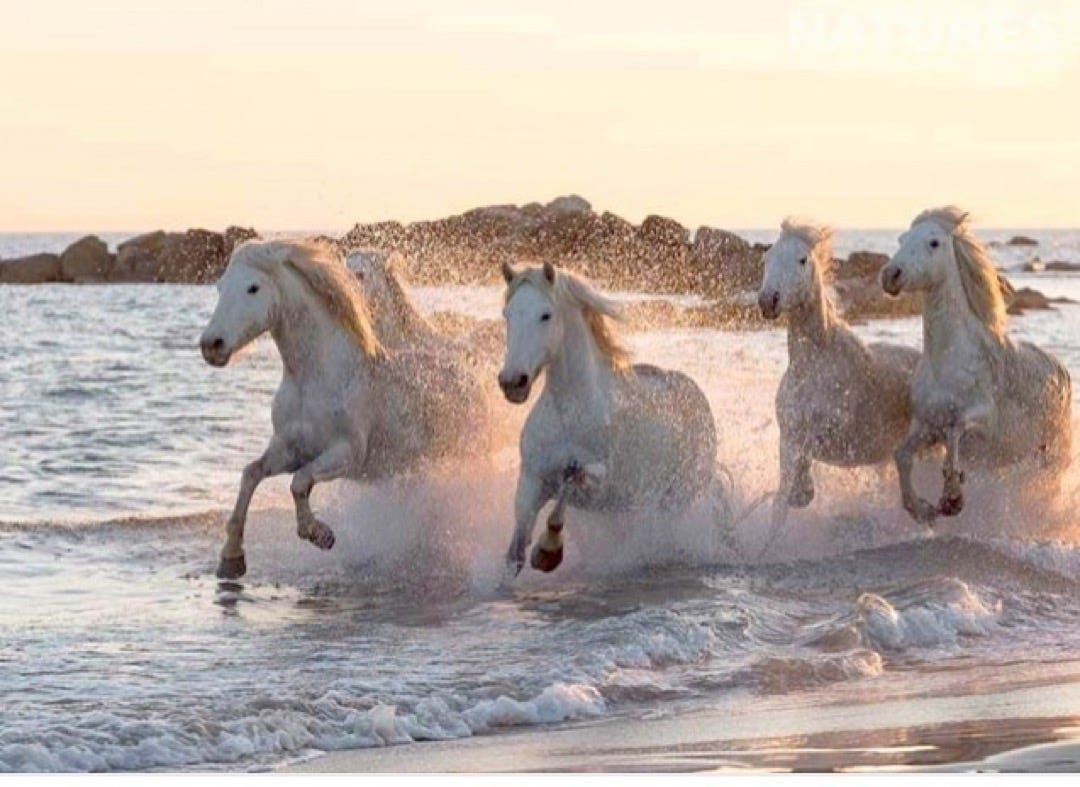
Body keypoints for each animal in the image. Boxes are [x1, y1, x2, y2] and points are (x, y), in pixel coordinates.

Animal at [198, 239, 490, 578]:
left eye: (253, 288)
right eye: (220, 287)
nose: (211, 345)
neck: (316, 378)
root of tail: (474, 379)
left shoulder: (347, 453)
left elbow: (299, 483)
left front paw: (320, 535)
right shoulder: (290, 449)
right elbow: (251, 474)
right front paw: (231, 559)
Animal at [496, 261, 725, 574]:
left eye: (545, 315)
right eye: (507, 314)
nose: (512, 382)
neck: (571, 413)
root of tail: (698, 394)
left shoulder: (602, 484)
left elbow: (570, 481)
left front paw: (547, 551)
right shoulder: (531, 481)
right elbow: (515, 552)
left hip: (674, 499)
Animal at [760, 218, 920, 531]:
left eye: (802, 259)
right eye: (767, 258)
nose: (768, 300)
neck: (813, 367)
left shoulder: (833, 437)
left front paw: (804, 492)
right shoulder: (788, 438)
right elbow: (780, 504)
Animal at [876, 207, 1071, 522]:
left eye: (934, 243)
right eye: (902, 239)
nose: (890, 275)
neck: (947, 360)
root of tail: (1061, 370)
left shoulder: (982, 424)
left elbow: (955, 432)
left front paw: (952, 499)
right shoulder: (925, 425)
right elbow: (902, 457)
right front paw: (922, 509)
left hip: (1050, 456)